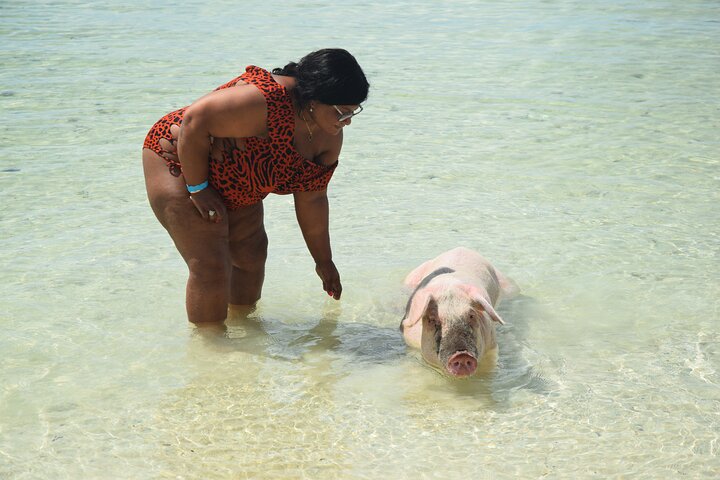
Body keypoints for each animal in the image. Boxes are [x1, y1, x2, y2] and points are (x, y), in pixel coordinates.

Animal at [400, 247, 518, 378]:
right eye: (432, 319)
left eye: (471, 316)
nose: (462, 355)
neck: (450, 287)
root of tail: (462, 248)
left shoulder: (492, 346)